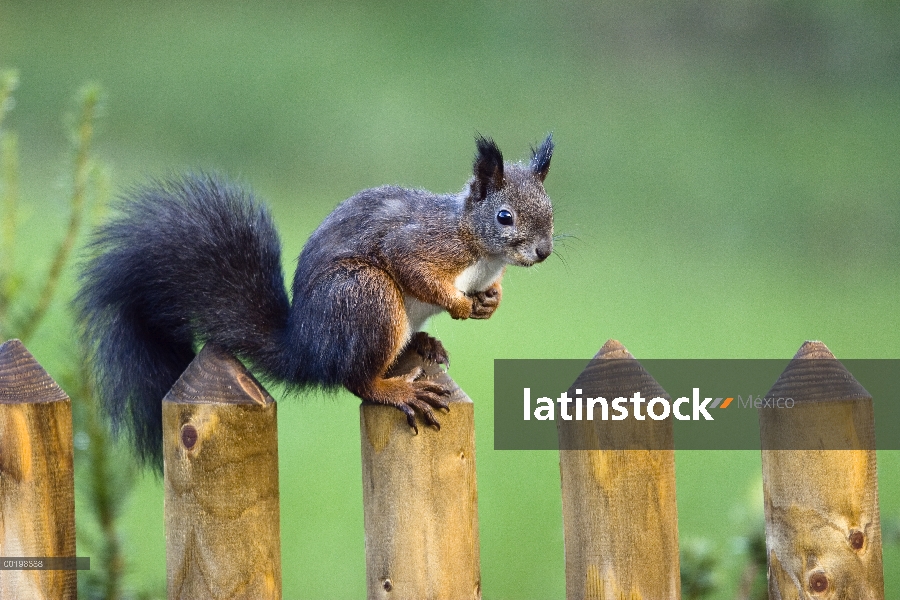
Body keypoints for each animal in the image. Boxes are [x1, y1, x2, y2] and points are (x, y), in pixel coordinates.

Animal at [77, 134, 552, 466]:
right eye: (504, 216)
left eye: (550, 210)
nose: (544, 251)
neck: (476, 242)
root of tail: (308, 346)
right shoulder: (418, 244)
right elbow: (413, 268)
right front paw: (459, 305)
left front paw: (490, 301)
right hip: (367, 296)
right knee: (355, 378)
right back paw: (397, 389)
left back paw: (425, 344)